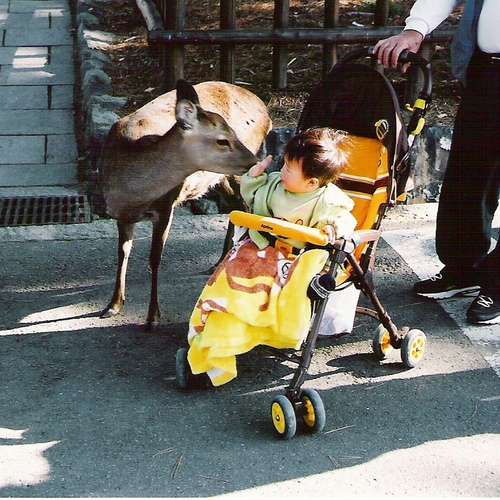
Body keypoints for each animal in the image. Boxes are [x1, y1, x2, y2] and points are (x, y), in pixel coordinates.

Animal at [96, 80, 272, 331]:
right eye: (222, 140)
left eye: (233, 132)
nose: (255, 162)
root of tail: (265, 110)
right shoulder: (121, 214)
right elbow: (123, 253)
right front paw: (113, 305)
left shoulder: (166, 206)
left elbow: (154, 259)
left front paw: (152, 317)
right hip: (220, 177)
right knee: (234, 205)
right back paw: (219, 261)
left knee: (245, 206)